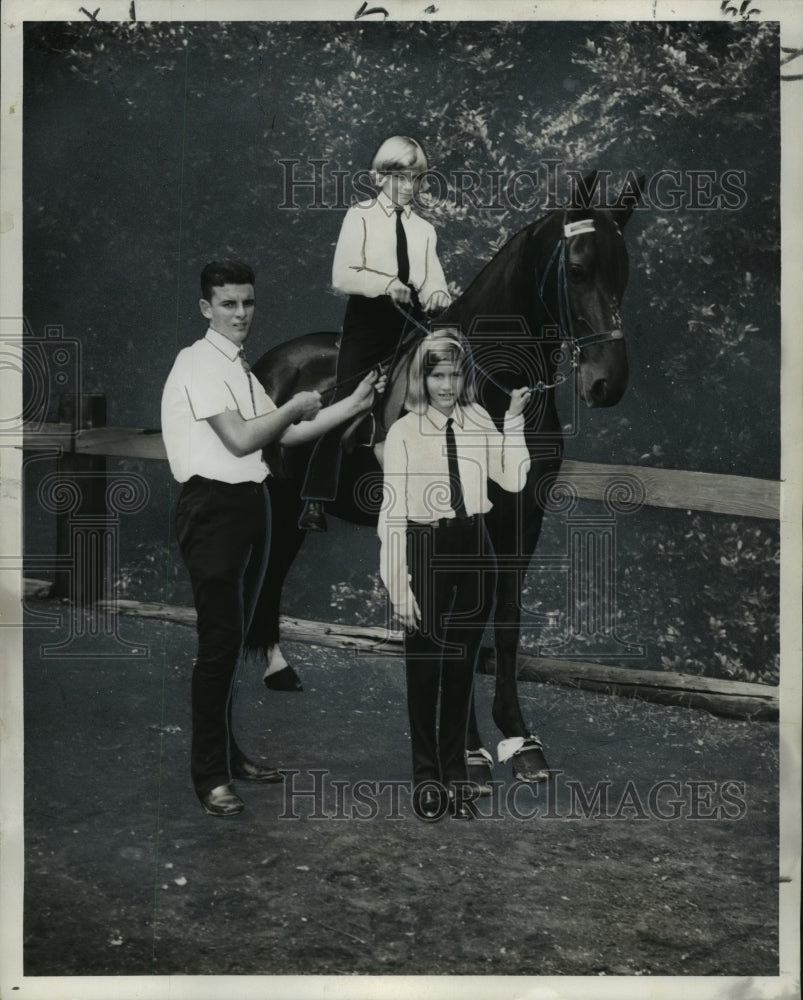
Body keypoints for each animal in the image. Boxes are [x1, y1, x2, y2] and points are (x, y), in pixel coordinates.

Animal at [248, 178, 644, 788]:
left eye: (622, 274)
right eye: (577, 270)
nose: (608, 383)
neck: (492, 387)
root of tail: (274, 360)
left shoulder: (523, 518)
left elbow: (505, 619)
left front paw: (520, 740)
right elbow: (463, 625)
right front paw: (473, 749)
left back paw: (278, 668)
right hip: (282, 497)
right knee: (270, 570)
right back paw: (274, 665)